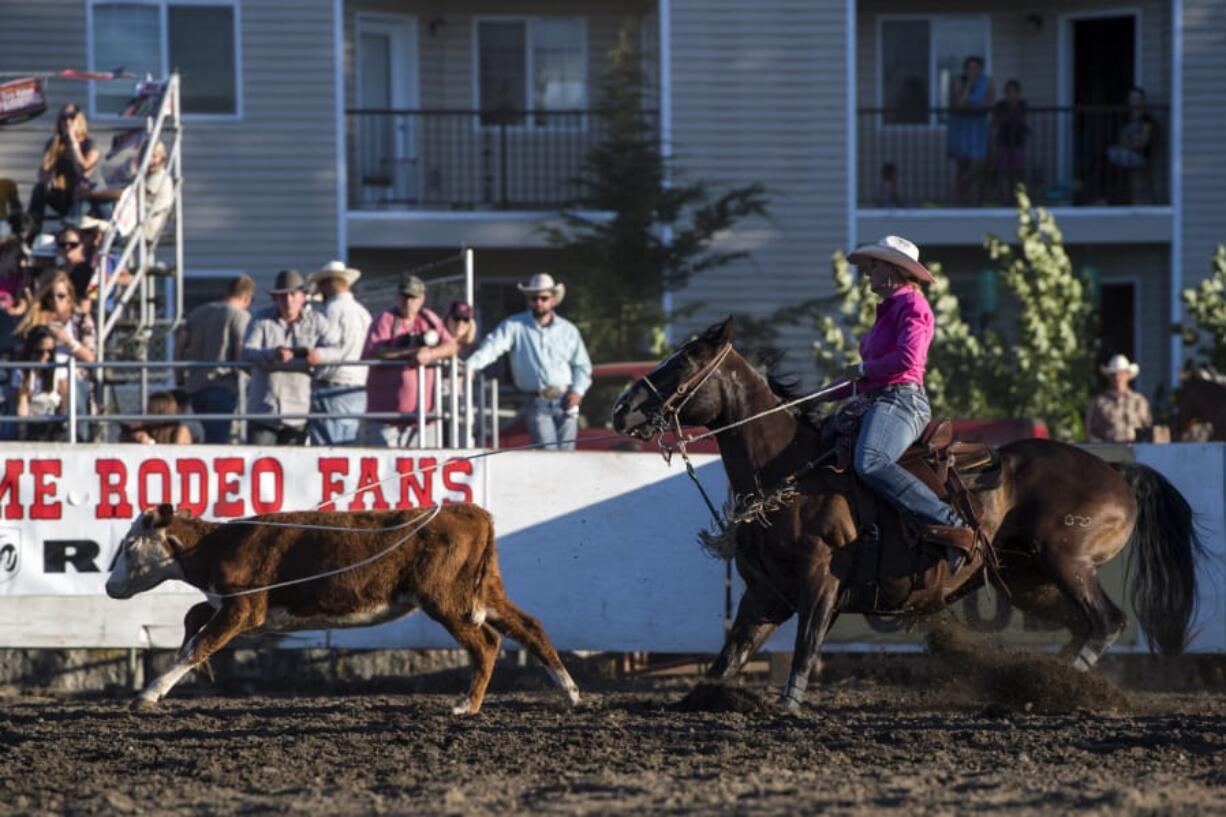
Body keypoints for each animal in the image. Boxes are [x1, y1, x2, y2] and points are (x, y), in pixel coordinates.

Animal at [105, 500, 578, 711]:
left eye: (129, 544)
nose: (109, 586)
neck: (218, 544)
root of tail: (470, 511)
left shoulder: (244, 609)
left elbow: (200, 644)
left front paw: (148, 694)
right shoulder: (242, 610)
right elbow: (194, 623)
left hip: (446, 599)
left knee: (485, 644)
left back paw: (467, 705)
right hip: (484, 591)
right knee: (529, 627)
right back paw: (570, 691)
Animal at [610, 318, 1196, 706]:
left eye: (682, 362)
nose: (621, 408)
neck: (788, 467)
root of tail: (1118, 473)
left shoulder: (820, 584)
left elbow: (805, 649)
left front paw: (788, 705)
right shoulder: (765, 595)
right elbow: (725, 660)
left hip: (1068, 561)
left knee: (1107, 621)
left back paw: (1058, 685)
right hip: (1028, 579)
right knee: (1082, 624)